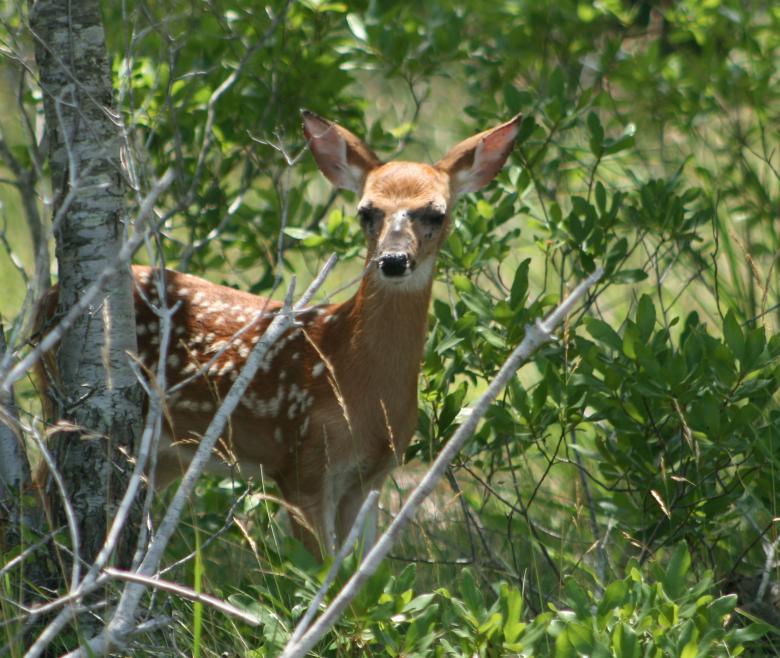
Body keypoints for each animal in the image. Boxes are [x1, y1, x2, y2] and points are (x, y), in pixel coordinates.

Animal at [99, 111, 519, 557]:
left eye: (436, 213)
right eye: (366, 211)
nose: (393, 260)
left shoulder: (373, 474)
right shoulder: (303, 462)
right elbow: (318, 568)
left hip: (168, 456)